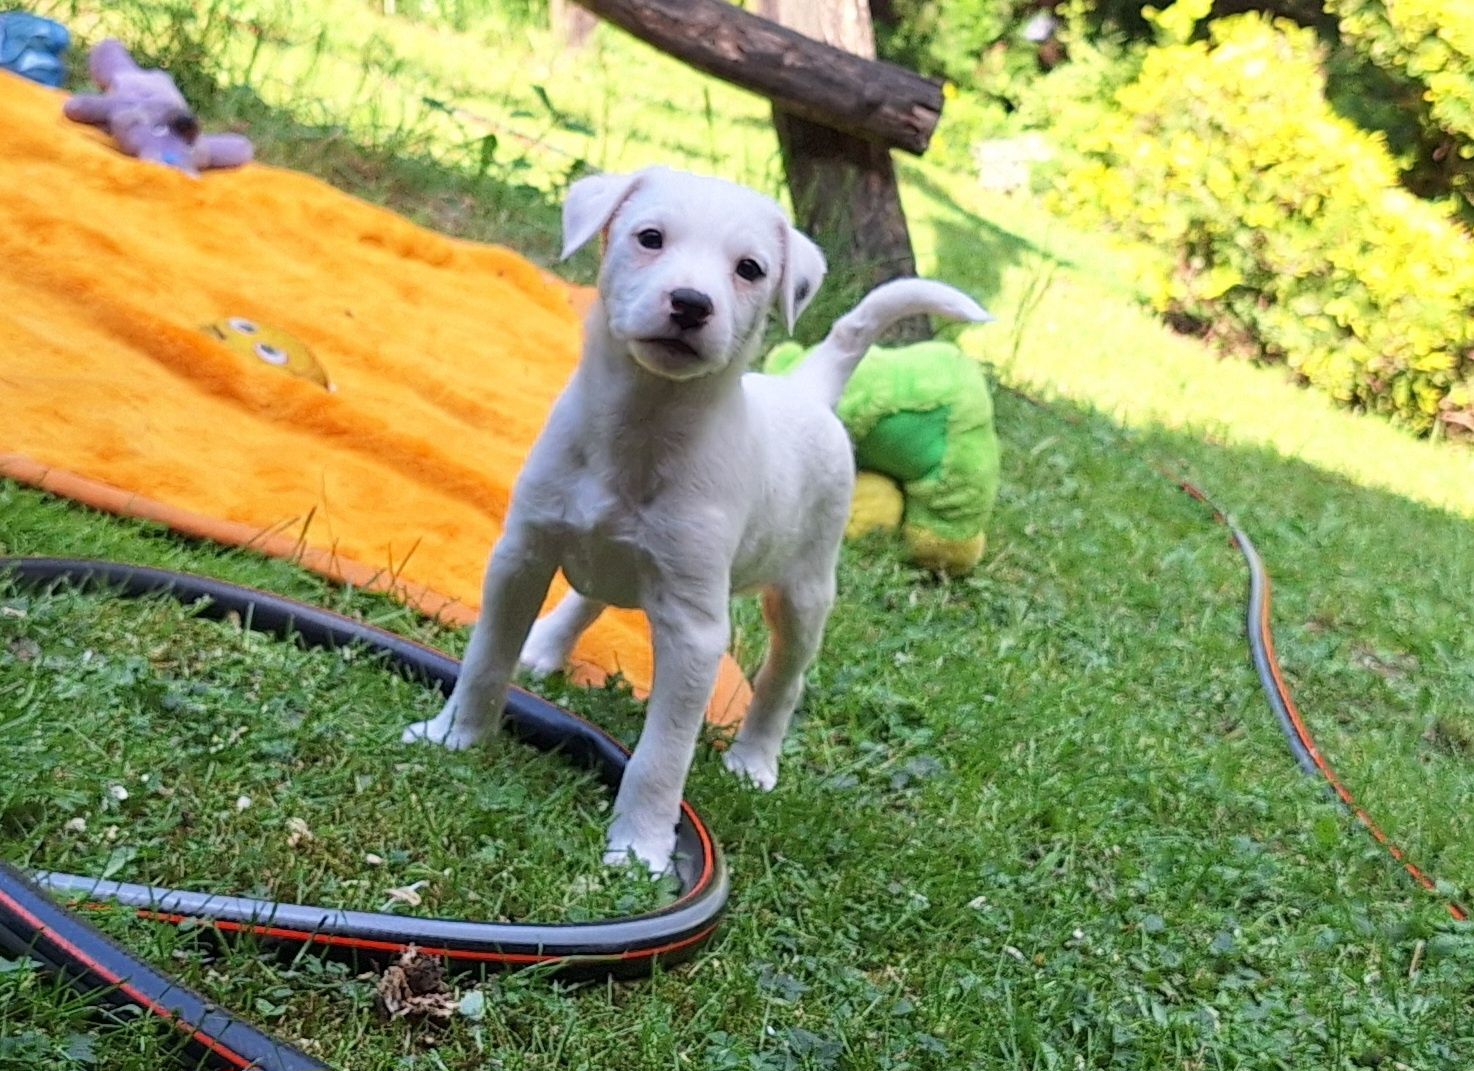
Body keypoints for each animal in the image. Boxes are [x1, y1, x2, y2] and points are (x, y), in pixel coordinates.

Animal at [403, 165, 990, 872]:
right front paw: (454, 735)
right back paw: (547, 645)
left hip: (804, 588)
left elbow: (662, 753)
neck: (642, 426)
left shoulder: (693, 631)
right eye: (649, 237)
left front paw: (640, 847)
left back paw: (754, 759)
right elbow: (487, 659)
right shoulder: (521, 557)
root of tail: (807, 391)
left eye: (750, 269)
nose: (690, 303)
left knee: (783, 680)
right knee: (594, 592)